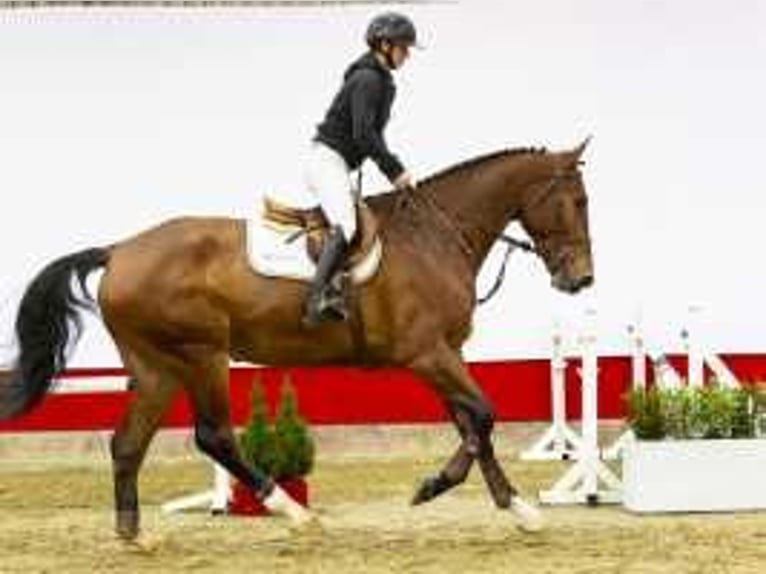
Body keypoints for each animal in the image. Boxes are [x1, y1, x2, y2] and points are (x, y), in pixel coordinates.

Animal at [0, 142, 592, 544]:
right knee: (214, 436)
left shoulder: (447, 353)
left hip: (157, 367)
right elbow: (484, 417)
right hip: (201, 355)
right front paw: (434, 485)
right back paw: (294, 512)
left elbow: (474, 425)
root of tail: (119, 250)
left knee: (128, 443)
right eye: (577, 201)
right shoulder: (427, 354)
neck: (437, 235)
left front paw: (519, 510)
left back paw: (134, 534)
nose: (581, 280)